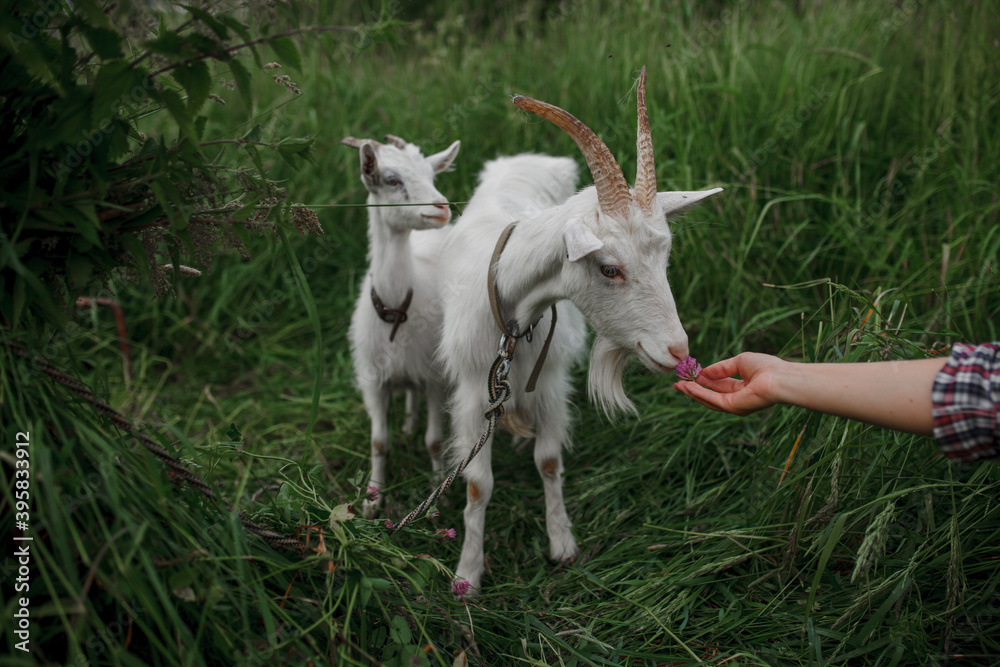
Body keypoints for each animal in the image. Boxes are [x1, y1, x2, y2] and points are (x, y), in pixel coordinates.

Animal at [343, 133, 461, 516]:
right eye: (391, 179)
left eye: (432, 174)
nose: (441, 207)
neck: (396, 308)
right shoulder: (374, 381)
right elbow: (379, 443)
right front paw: (372, 500)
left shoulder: (435, 378)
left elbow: (434, 441)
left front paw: (436, 500)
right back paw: (408, 422)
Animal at [436, 68, 722, 593]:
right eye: (609, 268)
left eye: (665, 255)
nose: (678, 350)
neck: (513, 317)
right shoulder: (471, 390)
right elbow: (477, 484)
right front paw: (467, 574)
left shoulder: (548, 381)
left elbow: (549, 461)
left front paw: (562, 543)